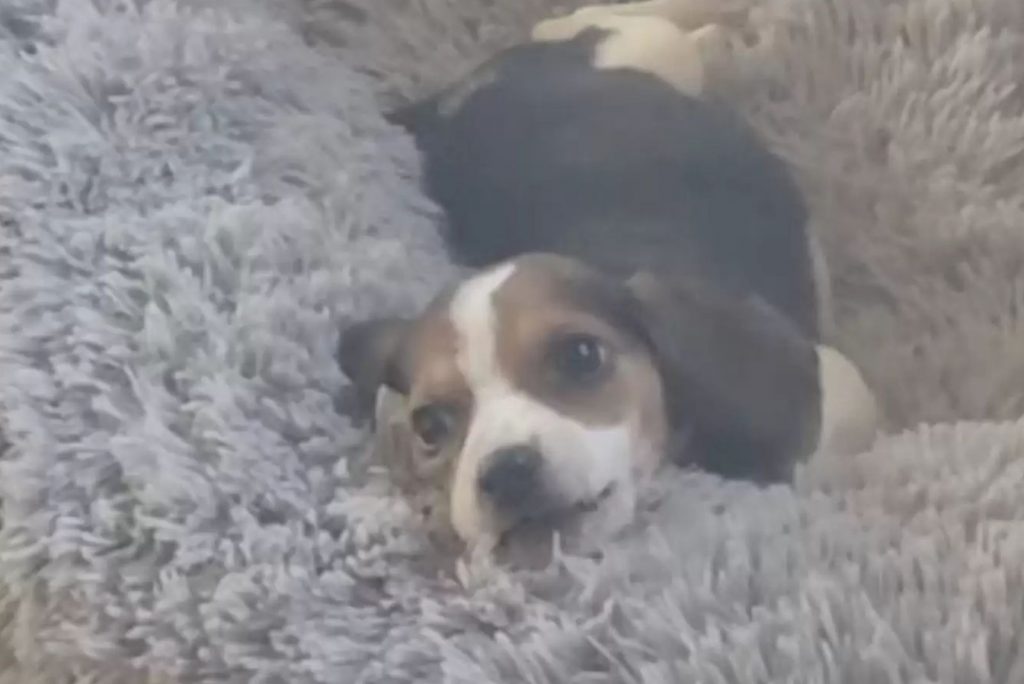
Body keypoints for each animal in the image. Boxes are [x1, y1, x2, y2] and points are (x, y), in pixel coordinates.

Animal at [337, 0, 880, 557]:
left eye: (581, 357)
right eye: (431, 425)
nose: (505, 471)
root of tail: (455, 98)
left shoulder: (841, 388)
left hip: (650, 46)